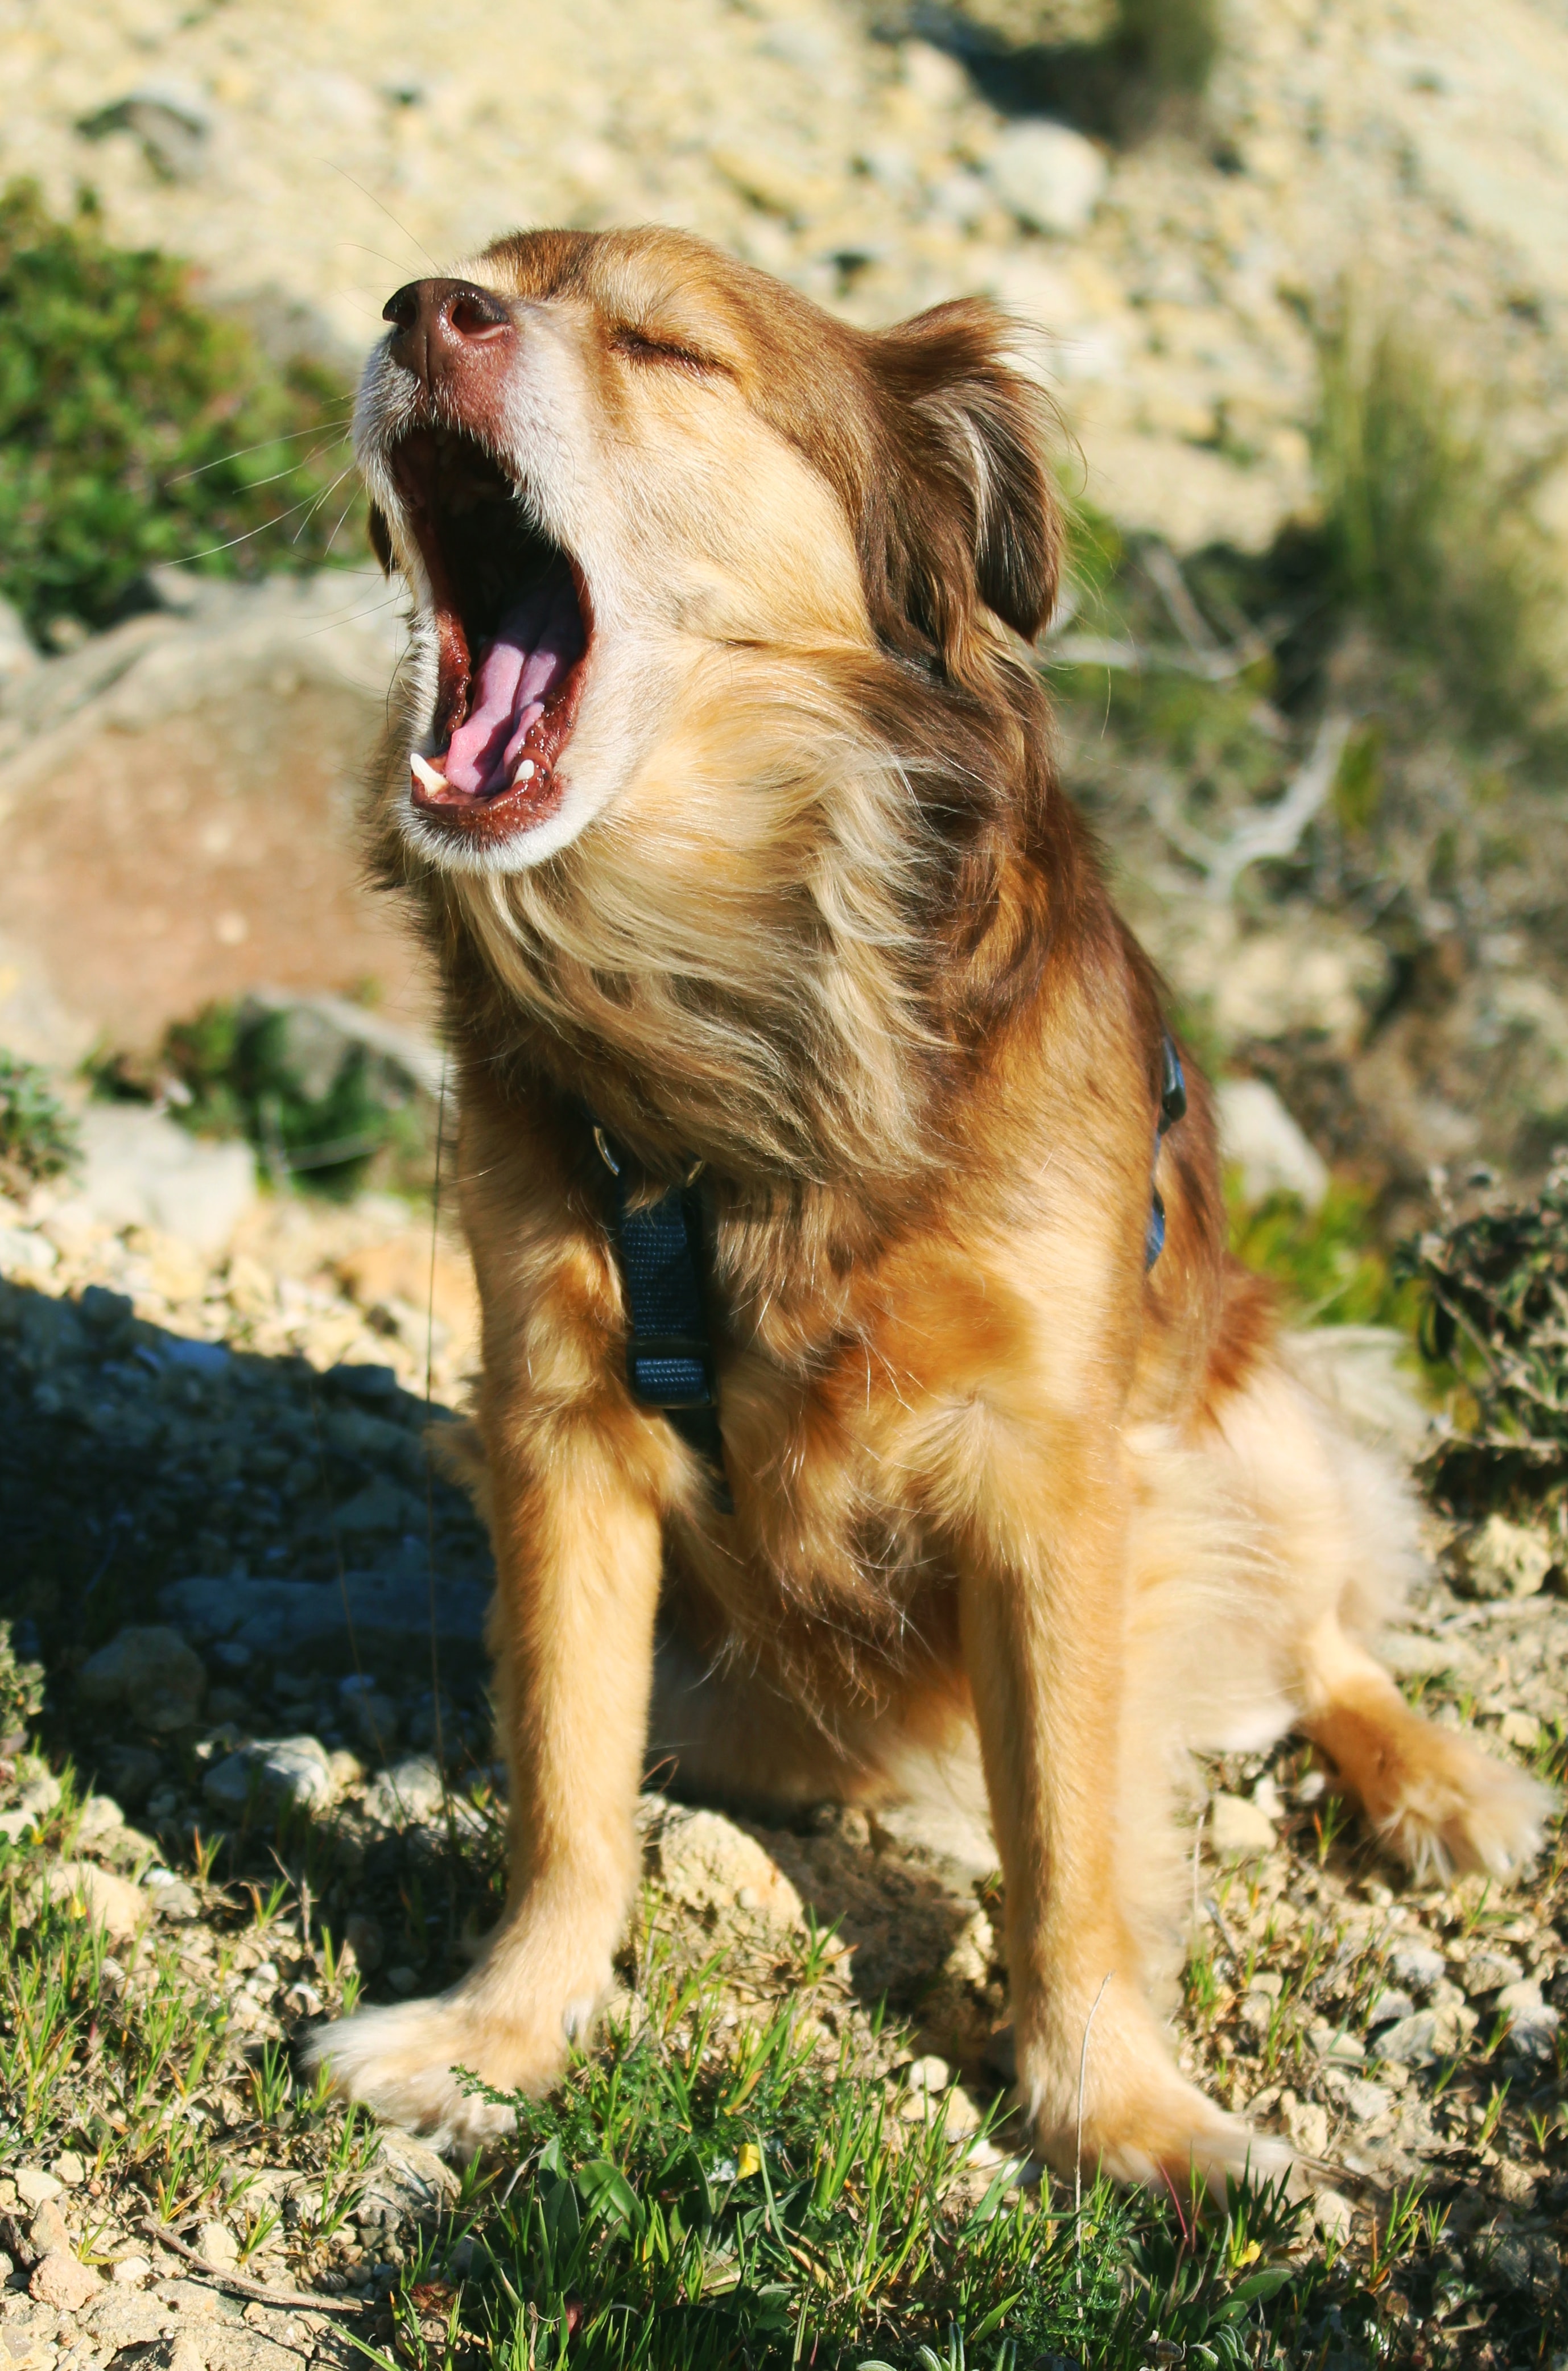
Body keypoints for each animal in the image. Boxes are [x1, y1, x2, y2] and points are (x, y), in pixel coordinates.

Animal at [302, 226, 1537, 2181]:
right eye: (472, 276)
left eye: (667, 347)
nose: (424, 310)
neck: (740, 1006)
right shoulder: (557, 1425)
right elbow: (566, 1779)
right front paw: (502, 2030)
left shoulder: (1050, 1463)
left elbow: (1067, 1847)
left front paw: (1123, 2113)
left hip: (1248, 1415)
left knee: (1324, 1632)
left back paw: (1439, 1784)